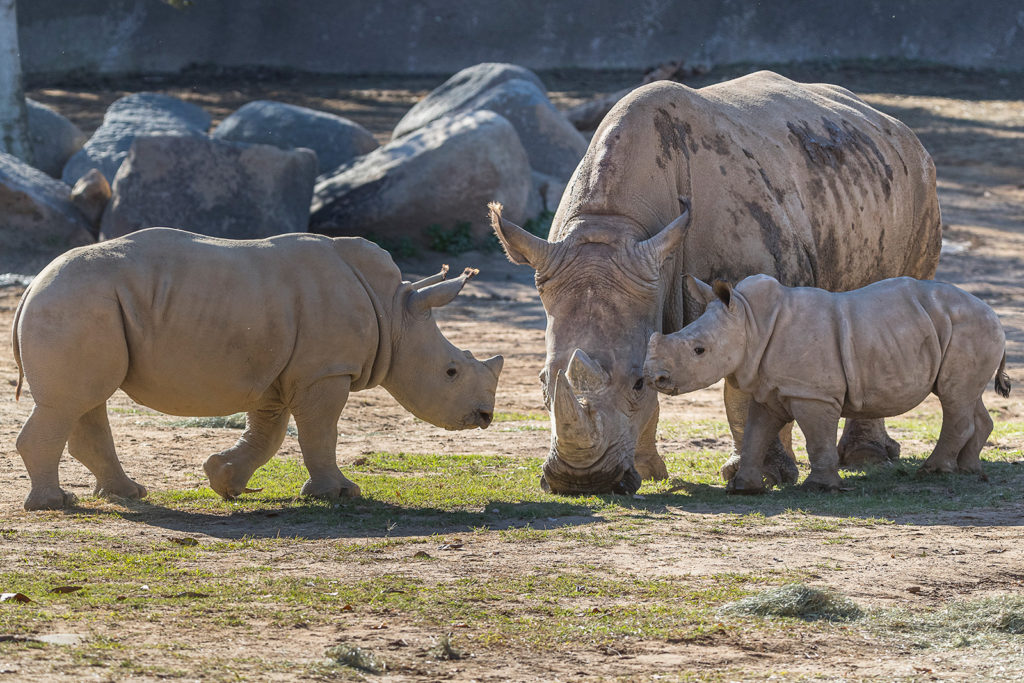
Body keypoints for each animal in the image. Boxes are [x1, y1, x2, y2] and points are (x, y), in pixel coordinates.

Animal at [11, 227, 499, 509]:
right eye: (451, 372)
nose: (485, 416)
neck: (395, 312)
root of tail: (32, 283)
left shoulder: (282, 372)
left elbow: (269, 434)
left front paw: (224, 481)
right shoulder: (325, 370)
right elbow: (320, 432)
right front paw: (340, 494)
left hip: (86, 304)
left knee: (84, 400)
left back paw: (126, 494)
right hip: (75, 301)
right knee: (70, 402)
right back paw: (56, 503)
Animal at [491, 69, 937, 493]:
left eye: (637, 383)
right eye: (542, 381)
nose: (581, 482)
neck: (615, 224)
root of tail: (891, 122)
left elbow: (742, 387)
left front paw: (762, 476)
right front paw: (648, 472)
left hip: (919, 180)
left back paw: (866, 460)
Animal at [647, 274, 1007, 493]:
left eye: (699, 350)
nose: (654, 377)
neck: (749, 322)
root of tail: (995, 313)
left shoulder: (813, 394)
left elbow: (816, 438)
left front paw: (818, 487)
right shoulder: (768, 389)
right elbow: (755, 434)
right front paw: (743, 488)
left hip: (971, 328)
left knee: (953, 397)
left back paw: (933, 471)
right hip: (961, 328)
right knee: (967, 397)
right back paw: (968, 470)